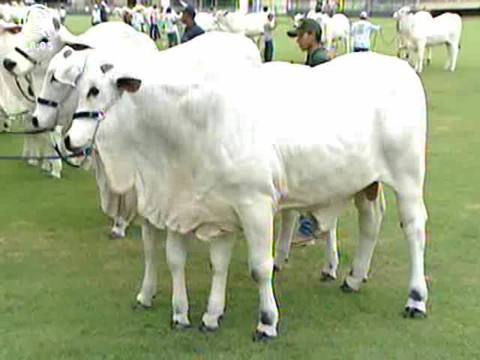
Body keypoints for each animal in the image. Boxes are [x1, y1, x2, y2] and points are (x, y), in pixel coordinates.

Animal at [65, 49, 430, 338]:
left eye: (95, 90)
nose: (68, 140)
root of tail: (401, 67)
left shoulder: (254, 204)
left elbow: (260, 267)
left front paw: (266, 321)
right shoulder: (213, 209)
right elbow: (213, 263)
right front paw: (207, 315)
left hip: (408, 176)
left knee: (414, 228)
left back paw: (416, 298)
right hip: (366, 183)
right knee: (371, 221)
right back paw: (354, 278)